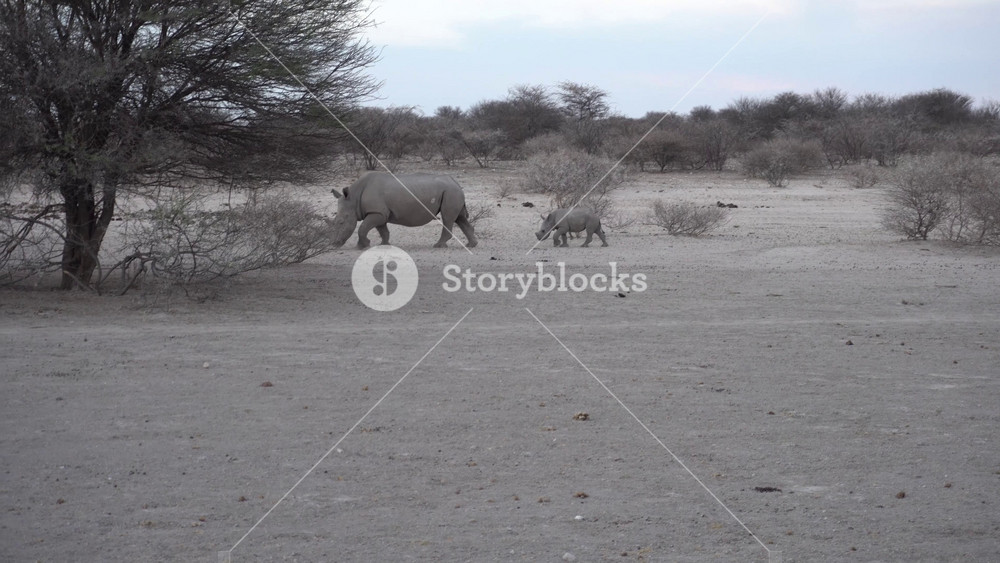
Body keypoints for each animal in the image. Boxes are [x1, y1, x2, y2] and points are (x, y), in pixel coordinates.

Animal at [330, 172, 478, 249]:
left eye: (341, 222)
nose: (335, 244)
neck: (354, 198)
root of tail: (455, 182)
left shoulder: (376, 212)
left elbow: (363, 228)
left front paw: (362, 246)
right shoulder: (379, 213)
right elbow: (383, 230)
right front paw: (384, 244)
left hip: (451, 192)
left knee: (448, 218)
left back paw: (438, 246)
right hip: (452, 191)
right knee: (459, 218)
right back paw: (471, 245)